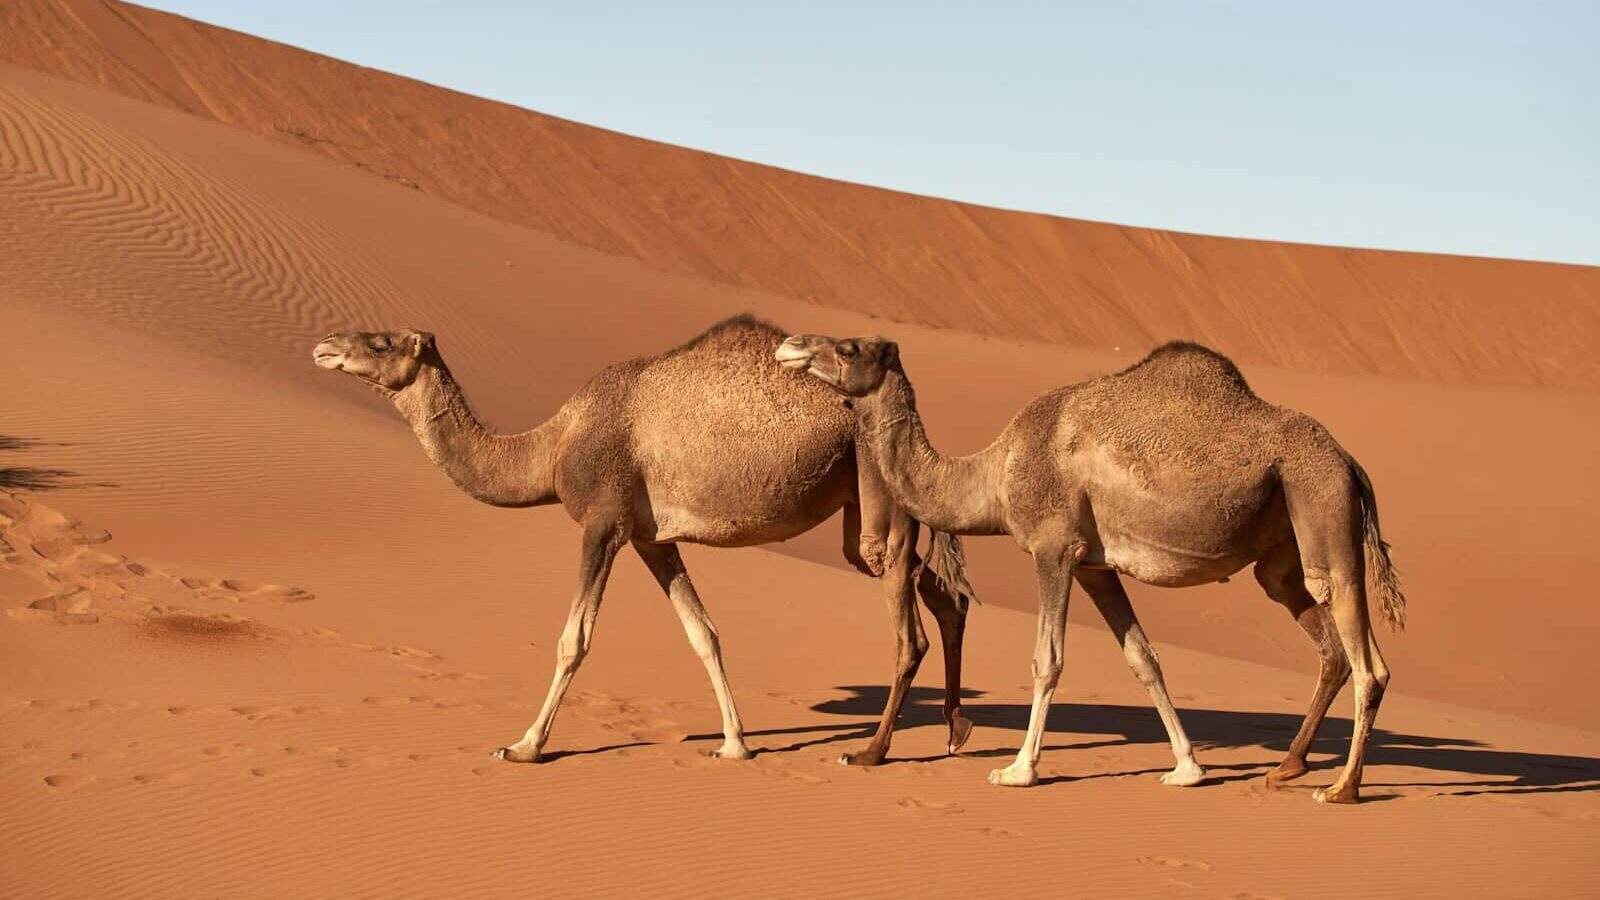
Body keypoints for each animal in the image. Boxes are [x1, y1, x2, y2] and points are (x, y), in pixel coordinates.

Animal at [313, 315, 977, 766]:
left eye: (381, 343)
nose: (326, 344)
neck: (550, 446)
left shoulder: (602, 520)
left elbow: (574, 639)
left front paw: (525, 745)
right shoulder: (650, 536)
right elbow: (702, 632)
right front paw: (735, 744)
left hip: (879, 502)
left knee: (908, 622)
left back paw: (875, 751)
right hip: (859, 510)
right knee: (944, 594)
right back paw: (955, 730)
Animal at [776, 334, 1406, 803]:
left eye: (848, 347)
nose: (790, 345)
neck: (994, 473)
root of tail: (1350, 462)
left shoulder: (1053, 548)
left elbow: (1047, 659)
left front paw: (1018, 770)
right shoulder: (1094, 565)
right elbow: (1143, 659)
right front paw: (1187, 768)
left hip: (1320, 504)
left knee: (1368, 660)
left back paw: (1343, 788)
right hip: (1282, 555)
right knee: (1326, 645)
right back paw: (1287, 767)